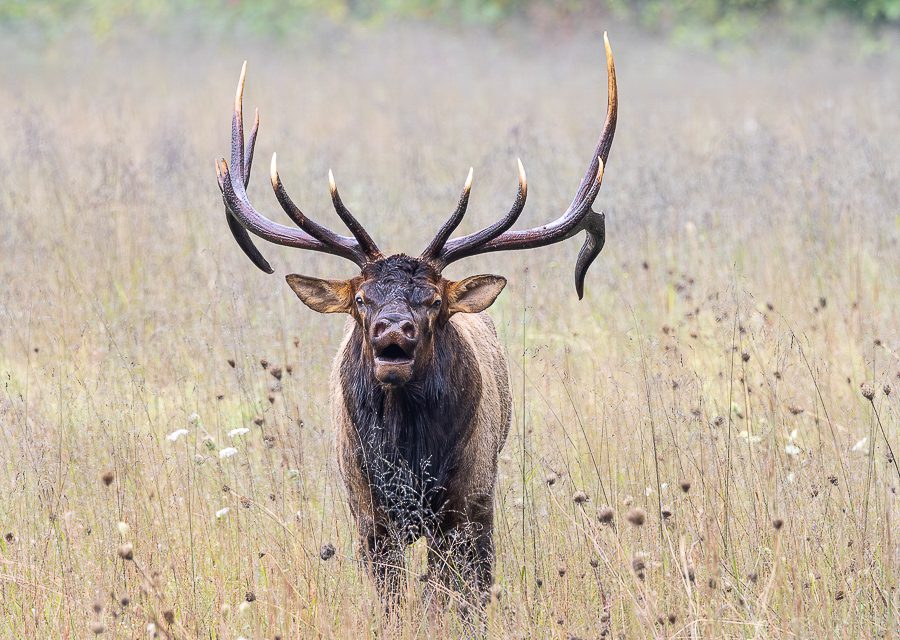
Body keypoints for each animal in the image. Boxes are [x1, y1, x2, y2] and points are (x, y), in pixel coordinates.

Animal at [214, 33, 620, 604]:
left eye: (432, 301)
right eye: (362, 300)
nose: (393, 329)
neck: (407, 460)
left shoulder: (466, 501)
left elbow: (456, 594)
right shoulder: (368, 515)